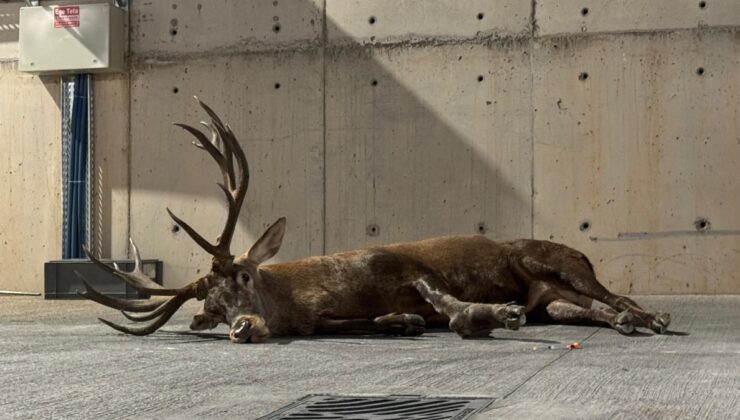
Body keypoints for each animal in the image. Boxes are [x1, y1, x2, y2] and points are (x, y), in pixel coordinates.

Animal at [79, 99, 672, 344]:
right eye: (212, 309)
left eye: (244, 277)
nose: (241, 328)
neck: (319, 293)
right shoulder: (329, 316)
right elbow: (377, 320)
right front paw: (401, 322)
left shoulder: (403, 264)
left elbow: (448, 305)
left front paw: (494, 314)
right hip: (553, 299)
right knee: (591, 308)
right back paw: (624, 322)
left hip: (557, 262)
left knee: (615, 294)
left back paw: (654, 318)